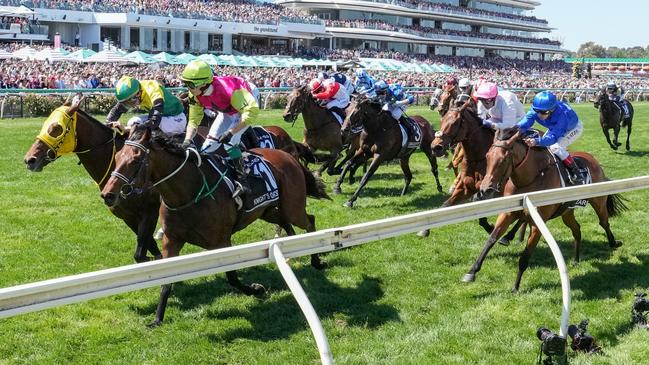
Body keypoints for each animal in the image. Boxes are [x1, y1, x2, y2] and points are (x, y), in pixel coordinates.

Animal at [25, 96, 162, 262]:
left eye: (56, 128)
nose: (29, 159)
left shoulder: (150, 209)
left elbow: (143, 252)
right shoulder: (126, 215)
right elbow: (148, 249)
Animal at [102, 126, 332, 326]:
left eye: (136, 160)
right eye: (117, 157)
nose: (107, 194)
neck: (189, 193)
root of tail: (287, 155)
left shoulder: (221, 242)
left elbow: (232, 277)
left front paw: (256, 289)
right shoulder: (171, 240)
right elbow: (167, 280)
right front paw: (157, 318)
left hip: (293, 207)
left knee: (309, 221)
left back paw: (317, 260)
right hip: (267, 211)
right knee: (286, 222)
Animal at [464, 129, 624, 292]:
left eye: (503, 160)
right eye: (487, 156)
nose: (485, 190)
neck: (529, 178)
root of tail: (594, 160)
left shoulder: (537, 223)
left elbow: (525, 256)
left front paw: (516, 286)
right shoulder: (508, 213)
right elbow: (491, 239)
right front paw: (472, 272)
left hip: (598, 201)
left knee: (604, 222)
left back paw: (614, 243)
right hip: (566, 212)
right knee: (577, 229)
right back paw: (576, 259)